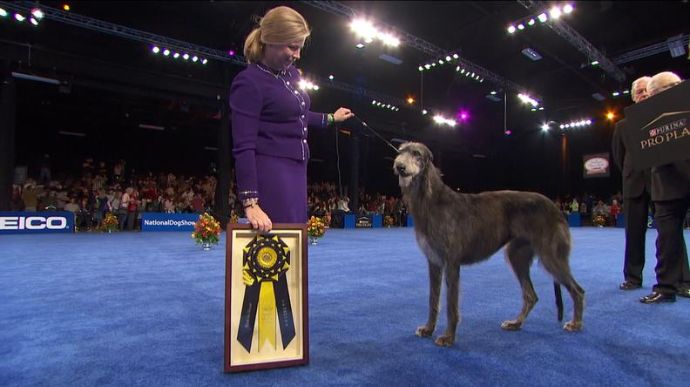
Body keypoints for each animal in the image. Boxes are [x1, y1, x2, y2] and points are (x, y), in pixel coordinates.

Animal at [392, 143, 580, 348]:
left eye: (416, 154)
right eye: (400, 152)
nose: (399, 167)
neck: (431, 201)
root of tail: (556, 208)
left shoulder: (452, 263)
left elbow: (451, 305)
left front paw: (448, 337)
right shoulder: (434, 262)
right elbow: (433, 300)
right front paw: (428, 329)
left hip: (550, 256)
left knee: (577, 290)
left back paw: (576, 324)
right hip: (517, 255)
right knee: (531, 295)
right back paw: (515, 323)